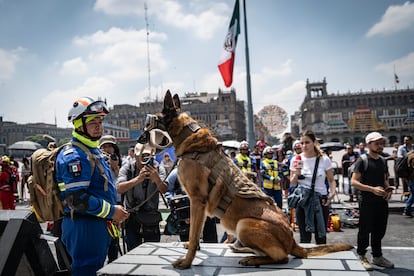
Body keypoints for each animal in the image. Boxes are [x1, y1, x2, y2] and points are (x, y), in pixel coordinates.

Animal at [143, 91, 352, 270]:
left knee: (281, 257)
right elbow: (197, 230)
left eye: (151, 121)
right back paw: (242, 249)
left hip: (244, 224)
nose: (140, 138)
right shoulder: (196, 204)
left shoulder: (197, 200)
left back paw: (252, 259)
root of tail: (293, 241)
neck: (190, 139)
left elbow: (195, 234)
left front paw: (187, 262)